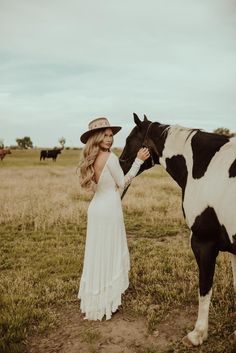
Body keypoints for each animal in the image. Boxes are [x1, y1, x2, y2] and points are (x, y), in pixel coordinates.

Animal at [120, 113, 236, 346]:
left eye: (129, 140)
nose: (120, 164)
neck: (204, 167)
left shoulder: (203, 242)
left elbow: (205, 288)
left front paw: (197, 334)